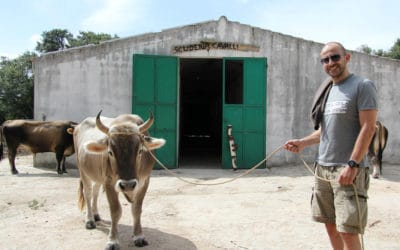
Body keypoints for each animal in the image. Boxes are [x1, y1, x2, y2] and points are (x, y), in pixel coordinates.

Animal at [72, 111, 165, 248]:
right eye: (110, 152)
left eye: (140, 151)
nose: (127, 185)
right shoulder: (109, 183)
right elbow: (115, 211)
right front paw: (113, 240)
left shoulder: (144, 182)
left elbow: (137, 210)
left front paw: (139, 236)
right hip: (83, 171)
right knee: (88, 193)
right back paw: (90, 220)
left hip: (98, 175)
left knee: (95, 191)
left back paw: (96, 215)